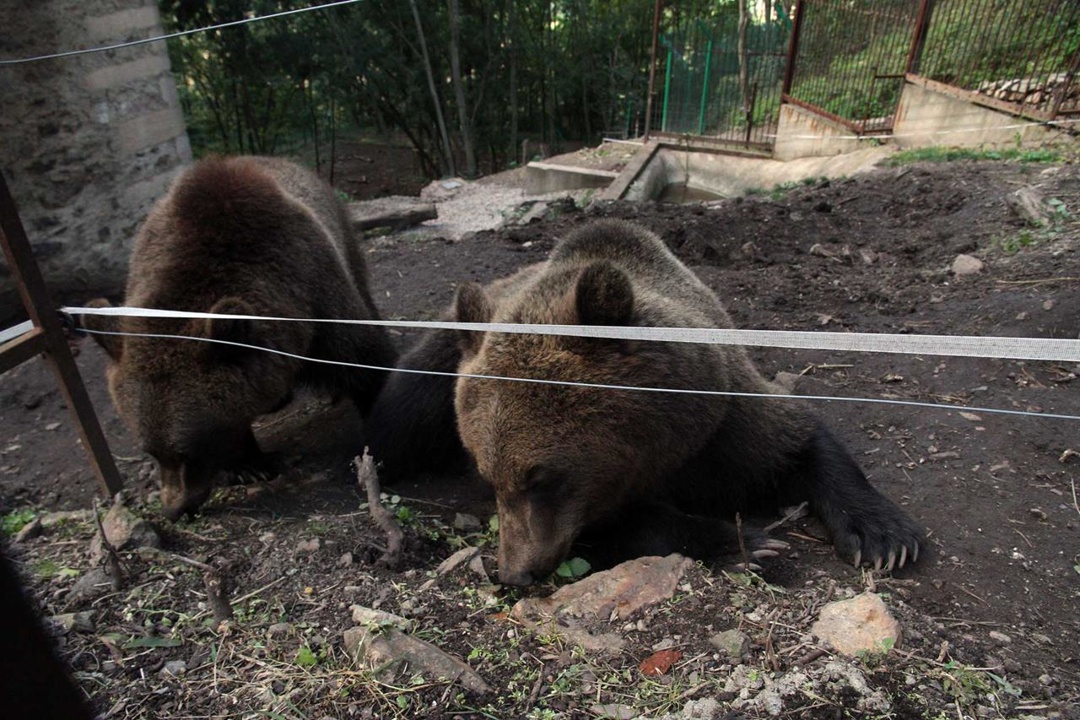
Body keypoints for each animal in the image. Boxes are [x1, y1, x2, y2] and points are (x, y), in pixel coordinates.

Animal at [81, 156, 397, 520]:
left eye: (188, 451)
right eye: (150, 451)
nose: (173, 509)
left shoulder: (316, 293)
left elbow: (364, 360)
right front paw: (248, 465)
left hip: (342, 234)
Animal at [367, 219, 923, 586]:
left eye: (541, 478)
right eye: (488, 477)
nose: (515, 573)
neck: (664, 448)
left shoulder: (727, 423)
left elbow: (799, 438)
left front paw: (884, 537)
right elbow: (632, 523)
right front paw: (746, 543)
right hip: (442, 350)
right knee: (400, 412)